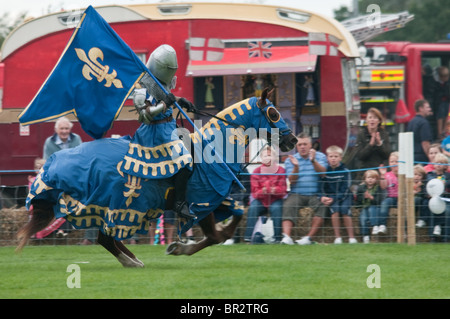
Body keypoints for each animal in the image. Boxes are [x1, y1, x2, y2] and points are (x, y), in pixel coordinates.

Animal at [17, 87, 298, 268]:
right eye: (273, 113)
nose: (293, 140)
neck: (214, 149)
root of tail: (51, 165)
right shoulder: (202, 202)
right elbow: (217, 235)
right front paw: (180, 248)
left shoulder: (216, 197)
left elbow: (237, 213)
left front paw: (182, 246)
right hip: (113, 204)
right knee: (105, 237)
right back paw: (130, 261)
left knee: (105, 237)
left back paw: (132, 258)